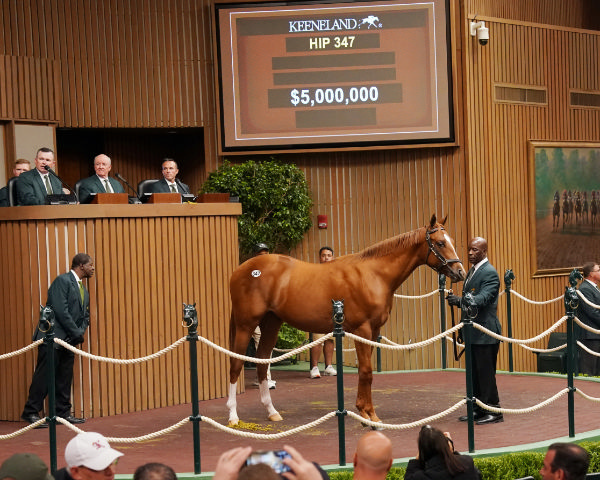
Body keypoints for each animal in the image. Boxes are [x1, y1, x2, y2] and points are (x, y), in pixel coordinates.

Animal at [227, 214, 466, 424]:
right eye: (440, 243)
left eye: (452, 241)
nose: (460, 272)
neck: (373, 274)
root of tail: (242, 269)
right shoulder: (362, 329)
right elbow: (367, 371)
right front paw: (369, 416)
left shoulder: (373, 332)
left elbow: (364, 371)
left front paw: (365, 411)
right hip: (246, 325)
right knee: (236, 363)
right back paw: (233, 416)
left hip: (271, 323)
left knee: (261, 363)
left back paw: (272, 412)